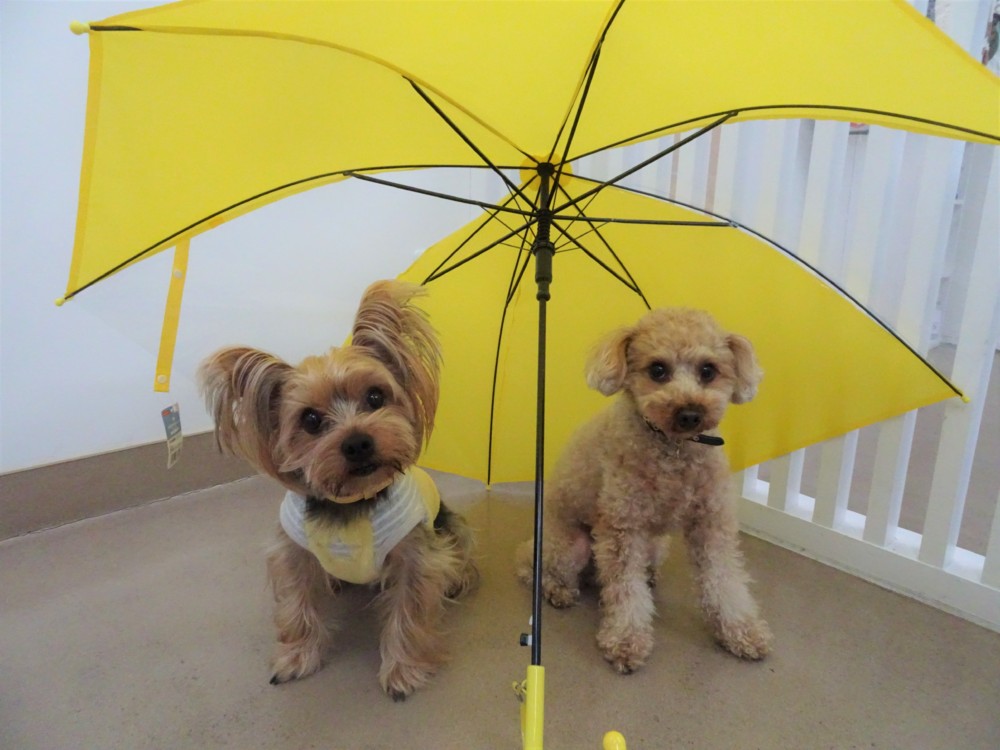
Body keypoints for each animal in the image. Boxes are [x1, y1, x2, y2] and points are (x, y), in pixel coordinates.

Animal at [198, 280, 478, 700]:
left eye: (376, 396)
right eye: (311, 420)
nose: (358, 442)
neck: (351, 497)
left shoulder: (416, 557)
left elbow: (409, 611)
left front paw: (403, 669)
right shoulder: (291, 552)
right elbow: (295, 604)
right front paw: (297, 655)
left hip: (450, 526)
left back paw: (458, 577)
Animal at [516, 307, 772, 674]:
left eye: (708, 370)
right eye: (657, 370)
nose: (690, 413)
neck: (672, 448)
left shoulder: (711, 525)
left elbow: (724, 580)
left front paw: (741, 631)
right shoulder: (623, 529)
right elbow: (626, 591)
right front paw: (626, 641)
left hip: (655, 547)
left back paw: (649, 577)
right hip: (571, 547)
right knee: (547, 572)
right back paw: (558, 591)